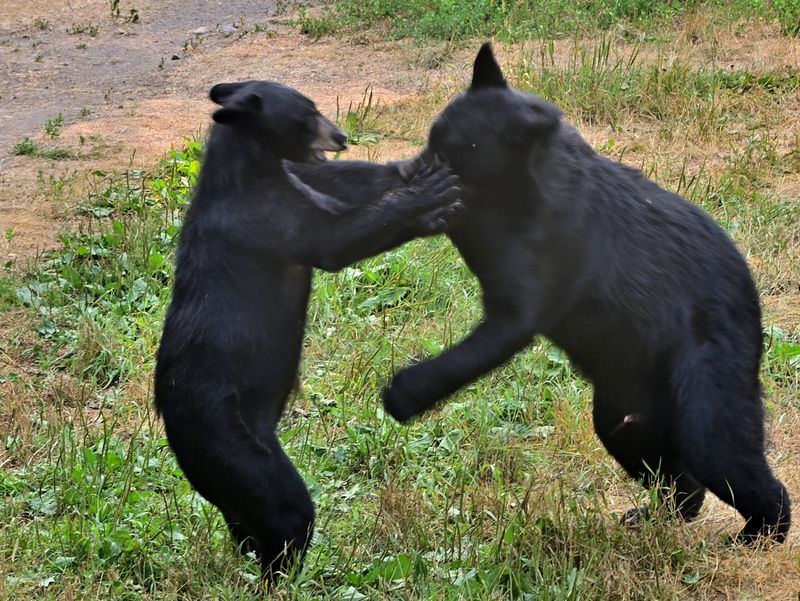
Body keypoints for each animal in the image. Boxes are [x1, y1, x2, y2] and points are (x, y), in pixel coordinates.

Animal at [154, 79, 461, 581]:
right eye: (308, 113)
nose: (342, 136)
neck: (249, 166)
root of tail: (170, 423)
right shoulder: (267, 218)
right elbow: (337, 239)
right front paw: (431, 192)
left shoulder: (299, 182)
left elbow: (345, 183)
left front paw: (423, 168)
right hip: (228, 439)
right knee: (284, 508)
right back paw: (282, 574)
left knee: (244, 519)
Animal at [382, 44, 790, 543]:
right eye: (432, 137)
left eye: (455, 150)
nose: (405, 174)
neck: (522, 188)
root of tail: (751, 302)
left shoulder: (536, 279)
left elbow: (486, 339)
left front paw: (403, 393)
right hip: (623, 413)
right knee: (680, 480)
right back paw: (653, 518)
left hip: (706, 394)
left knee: (732, 463)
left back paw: (757, 536)